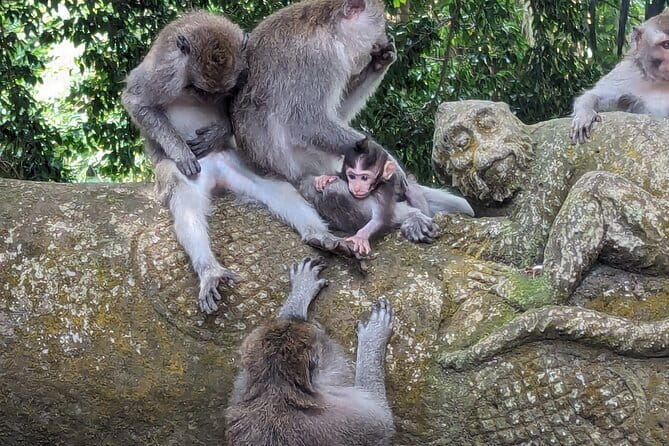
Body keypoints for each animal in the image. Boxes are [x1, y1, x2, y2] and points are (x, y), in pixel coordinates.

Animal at [122, 11, 354, 314]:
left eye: (219, 91)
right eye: (199, 89)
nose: (211, 98)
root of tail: (215, 174)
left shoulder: (246, 66)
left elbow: (243, 108)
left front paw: (218, 131)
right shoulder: (163, 70)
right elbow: (137, 101)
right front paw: (182, 151)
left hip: (235, 161)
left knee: (274, 185)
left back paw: (320, 236)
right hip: (183, 172)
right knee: (184, 196)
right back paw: (209, 271)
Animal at [225, 257, 395, 446]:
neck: (277, 385)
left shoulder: (242, 387)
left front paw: (299, 295)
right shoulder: (353, 419)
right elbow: (382, 417)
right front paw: (375, 333)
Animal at [230, 0, 474, 247]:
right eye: (379, 25)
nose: (384, 38)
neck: (329, 28)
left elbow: (337, 115)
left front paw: (380, 62)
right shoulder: (319, 58)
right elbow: (309, 123)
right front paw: (393, 166)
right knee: (327, 189)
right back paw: (410, 217)